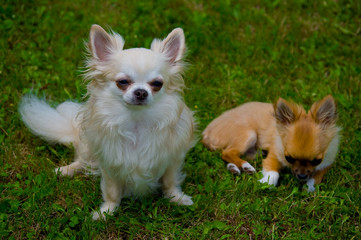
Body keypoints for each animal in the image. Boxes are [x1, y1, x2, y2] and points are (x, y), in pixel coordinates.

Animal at [19, 24, 197, 219]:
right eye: (123, 82)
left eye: (157, 84)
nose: (141, 92)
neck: (136, 120)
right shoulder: (109, 164)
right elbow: (112, 191)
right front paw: (106, 212)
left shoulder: (172, 159)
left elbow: (170, 182)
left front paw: (177, 198)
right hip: (88, 146)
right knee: (82, 161)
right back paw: (66, 170)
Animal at [202, 95, 340, 191]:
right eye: (289, 158)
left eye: (316, 161)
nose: (301, 176)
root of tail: (207, 131)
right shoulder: (273, 156)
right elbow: (273, 172)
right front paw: (266, 183)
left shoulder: (325, 164)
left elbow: (315, 178)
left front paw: (309, 187)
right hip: (250, 135)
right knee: (227, 152)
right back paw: (245, 166)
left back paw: (234, 168)